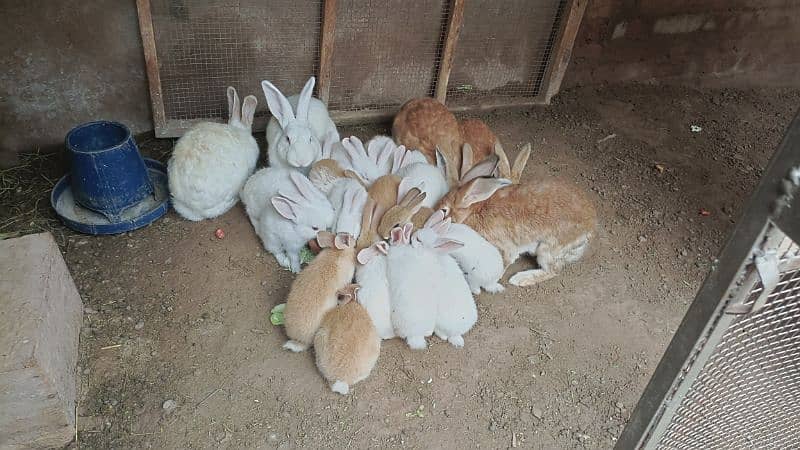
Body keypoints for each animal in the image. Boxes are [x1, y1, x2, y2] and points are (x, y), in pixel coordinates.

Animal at [434, 175, 596, 284]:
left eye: (444, 210)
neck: (473, 212)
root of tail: (591, 227)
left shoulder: (504, 246)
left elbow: (504, 261)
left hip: (547, 249)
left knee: (553, 271)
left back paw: (520, 279)